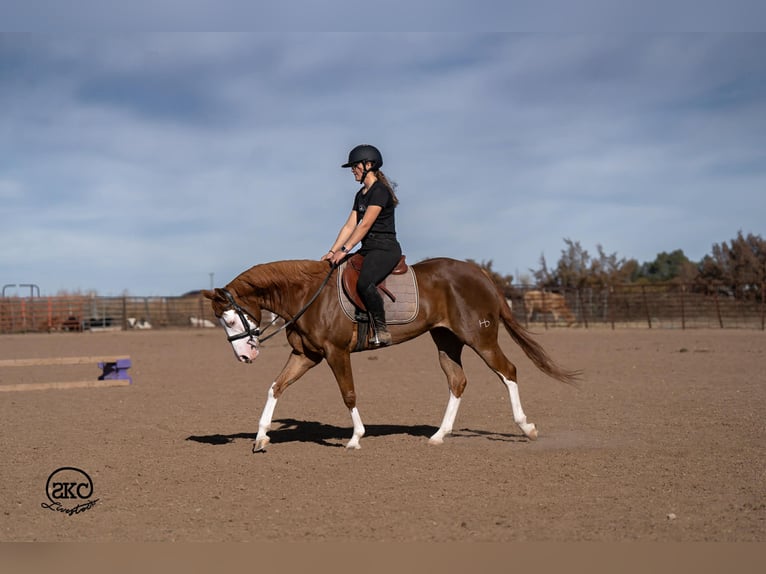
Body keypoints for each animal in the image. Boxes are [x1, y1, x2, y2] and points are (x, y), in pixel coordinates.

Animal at [202, 257, 580, 452]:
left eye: (232, 319)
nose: (245, 357)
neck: (308, 294)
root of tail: (479, 273)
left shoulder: (335, 352)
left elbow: (348, 393)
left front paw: (356, 438)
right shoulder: (305, 355)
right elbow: (275, 387)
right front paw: (261, 437)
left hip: (480, 337)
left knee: (508, 371)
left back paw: (526, 428)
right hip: (446, 339)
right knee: (457, 381)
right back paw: (439, 436)